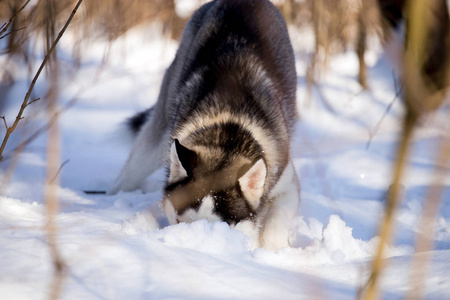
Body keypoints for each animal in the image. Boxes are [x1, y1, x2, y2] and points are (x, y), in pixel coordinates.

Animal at [107, 0, 300, 250]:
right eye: (180, 221)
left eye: (224, 227)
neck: (228, 134)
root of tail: (238, 1)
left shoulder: (285, 180)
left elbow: (276, 223)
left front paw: (272, 250)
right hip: (159, 136)